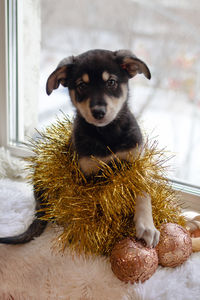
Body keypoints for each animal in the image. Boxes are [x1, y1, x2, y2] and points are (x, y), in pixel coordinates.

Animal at [0, 48, 160, 246]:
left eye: (111, 82)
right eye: (82, 86)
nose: (98, 112)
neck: (107, 134)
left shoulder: (136, 162)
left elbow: (143, 194)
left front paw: (147, 227)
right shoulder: (87, 174)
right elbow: (93, 205)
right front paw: (98, 232)